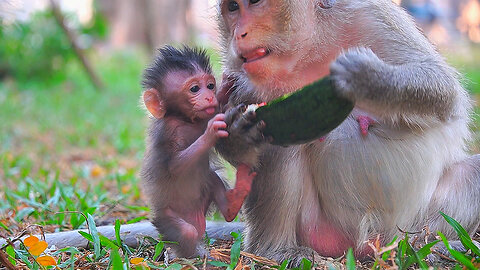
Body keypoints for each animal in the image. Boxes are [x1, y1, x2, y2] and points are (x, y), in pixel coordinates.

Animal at [141, 45, 256, 258]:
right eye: (194, 89)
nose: (209, 96)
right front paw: (211, 132)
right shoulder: (166, 132)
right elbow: (173, 167)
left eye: (210, 85)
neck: (186, 120)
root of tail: (197, 219)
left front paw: (225, 88)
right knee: (186, 232)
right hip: (167, 219)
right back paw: (192, 257)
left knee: (212, 179)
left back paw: (235, 199)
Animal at [216, 0, 480, 264]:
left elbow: (441, 86)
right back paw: (275, 250)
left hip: (412, 224)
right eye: (233, 7)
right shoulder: (238, 80)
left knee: (472, 172)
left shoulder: (371, 15)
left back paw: (438, 247)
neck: (310, 48)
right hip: (319, 229)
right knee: (282, 141)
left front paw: (367, 78)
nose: (239, 34)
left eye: (255, 3)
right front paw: (238, 136)